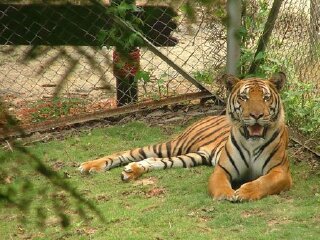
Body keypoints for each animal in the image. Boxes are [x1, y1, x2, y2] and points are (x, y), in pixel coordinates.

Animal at [80, 72, 292, 201]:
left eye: (265, 97)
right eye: (244, 97)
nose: (256, 115)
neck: (251, 142)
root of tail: (208, 116)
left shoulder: (281, 172)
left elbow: (263, 182)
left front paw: (244, 192)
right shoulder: (222, 169)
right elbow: (220, 183)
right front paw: (225, 195)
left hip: (194, 156)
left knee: (152, 160)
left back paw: (132, 171)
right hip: (174, 145)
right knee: (127, 152)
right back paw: (90, 166)